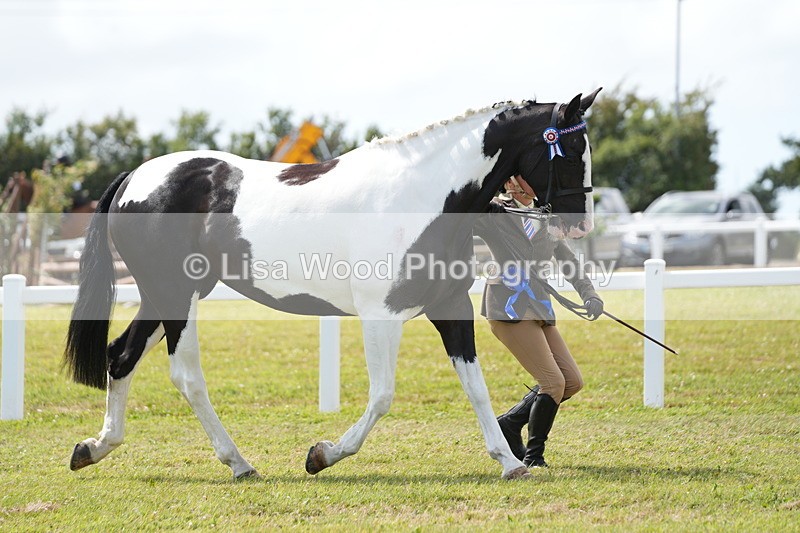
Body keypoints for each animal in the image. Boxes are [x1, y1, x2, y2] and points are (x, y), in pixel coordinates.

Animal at [64, 89, 601, 480]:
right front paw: (322, 454)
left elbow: (476, 387)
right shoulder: (381, 315)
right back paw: (239, 463)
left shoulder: (449, 306)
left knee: (121, 356)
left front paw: (510, 463)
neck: (422, 197)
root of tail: (135, 178)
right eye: (571, 148)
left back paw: (94, 448)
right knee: (186, 376)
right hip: (177, 296)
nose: (579, 225)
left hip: (164, 295)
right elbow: (383, 395)